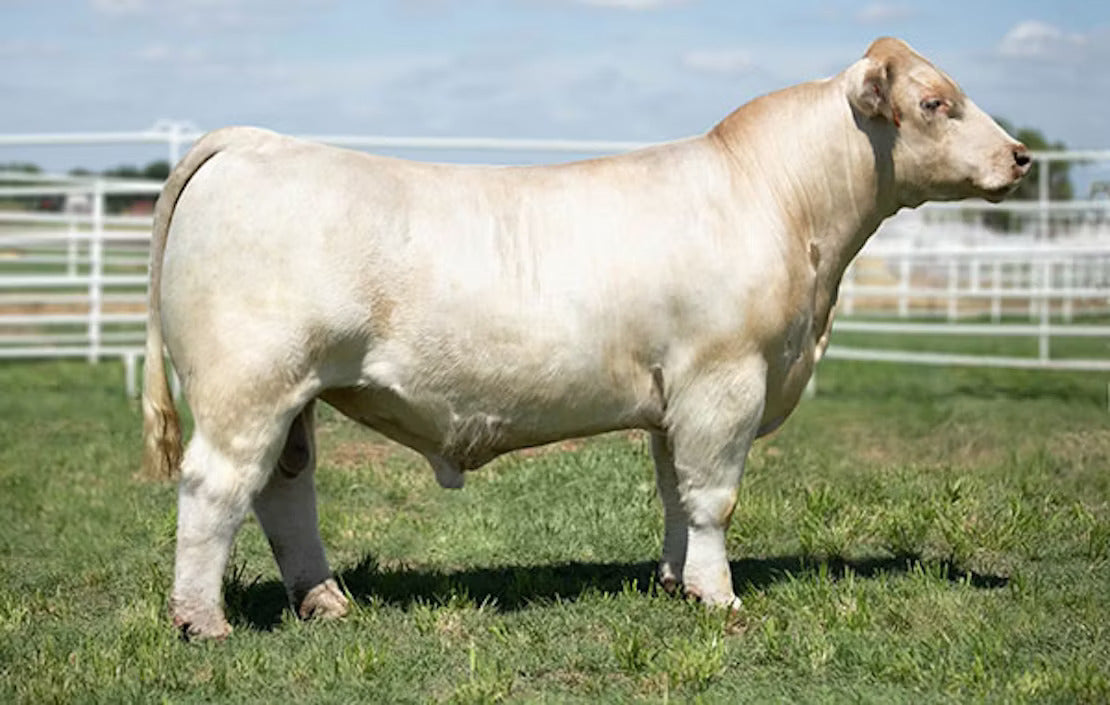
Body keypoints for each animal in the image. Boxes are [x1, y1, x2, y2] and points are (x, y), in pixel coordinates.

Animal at [142, 37, 1030, 640]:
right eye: (935, 103)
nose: (1021, 156)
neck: (784, 207)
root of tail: (253, 140)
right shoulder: (726, 378)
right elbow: (714, 496)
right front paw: (720, 593)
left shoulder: (679, 394)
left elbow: (676, 491)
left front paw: (676, 580)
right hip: (249, 383)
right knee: (217, 487)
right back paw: (201, 620)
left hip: (293, 394)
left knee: (283, 490)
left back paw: (326, 601)